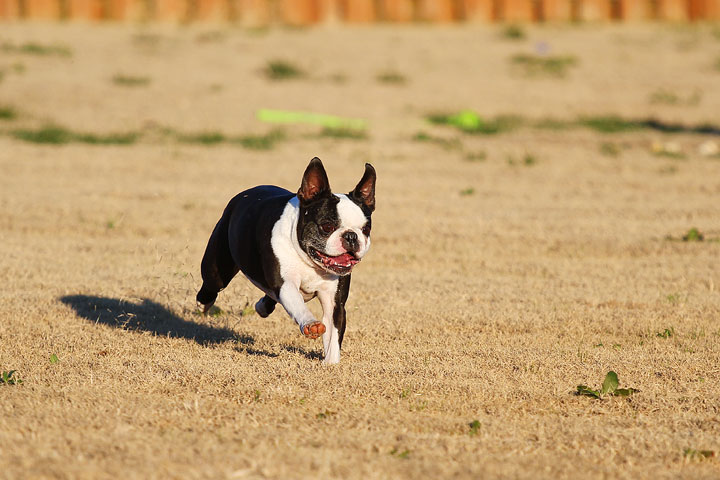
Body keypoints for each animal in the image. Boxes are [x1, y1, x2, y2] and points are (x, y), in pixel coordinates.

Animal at [197, 158, 376, 364]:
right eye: (327, 226)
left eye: (366, 229)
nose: (351, 236)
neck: (310, 261)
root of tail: (244, 194)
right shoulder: (285, 284)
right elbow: (297, 304)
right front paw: (311, 323)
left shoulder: (334, 303)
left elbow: (333, 335)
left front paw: (330, 364)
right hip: (217, 268)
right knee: (212, 284)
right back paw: (203, 304)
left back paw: (262, 307)